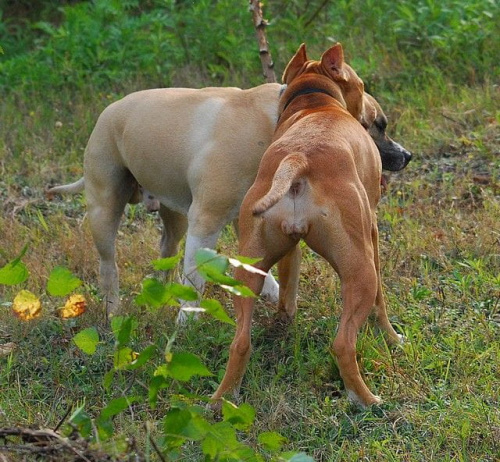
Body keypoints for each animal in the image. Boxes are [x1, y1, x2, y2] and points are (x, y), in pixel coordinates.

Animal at [212, 41, 402, 406]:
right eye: (361, 86)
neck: (315, 101)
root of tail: (297, 158)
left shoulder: (288, 253)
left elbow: (288, 289)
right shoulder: (371, 234)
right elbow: (381, 304)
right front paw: (392, 337)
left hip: (247, 274)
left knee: (240, 342)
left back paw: (222, 398)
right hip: (360, 272)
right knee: (343, 343)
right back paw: (366, 399)